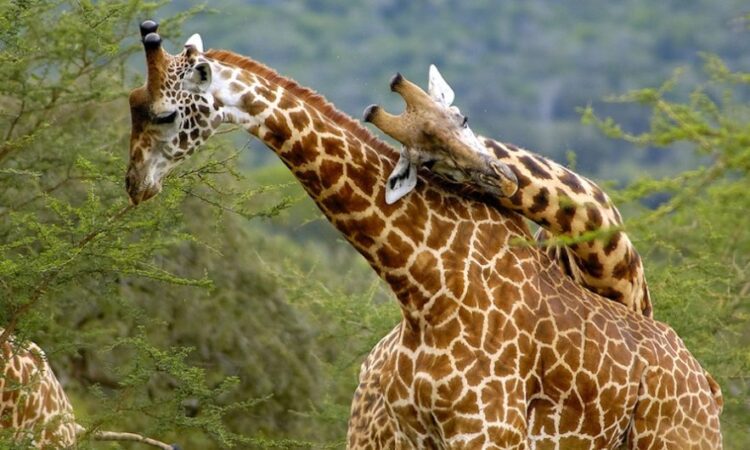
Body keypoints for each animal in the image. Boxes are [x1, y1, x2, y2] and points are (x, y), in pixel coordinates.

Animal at [126, 22, 722, 449]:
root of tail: (706, 384)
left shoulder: (489, 433)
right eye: (142, 110)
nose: (136, 183)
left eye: (162, 114)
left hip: (678, 441)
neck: (422, 287)